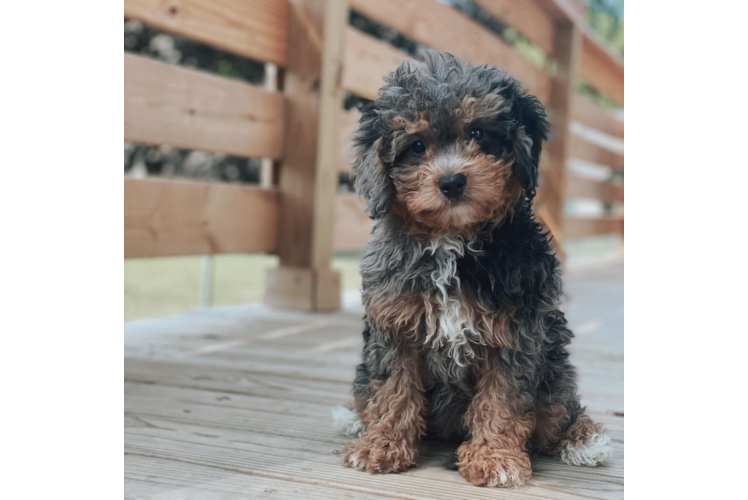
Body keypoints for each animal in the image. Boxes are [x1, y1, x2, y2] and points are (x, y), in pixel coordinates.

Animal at [334, 51, 612, 488]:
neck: (453, 241)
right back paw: (355, 420)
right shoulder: (395, 325)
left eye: (478, 133)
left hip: (553, 365)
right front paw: (380, 445)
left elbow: (503, 400)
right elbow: (392, 389)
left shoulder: (515, 333)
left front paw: (495, 457)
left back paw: (584, 440)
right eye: (416, 146)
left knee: (559, 411)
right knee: (367, 392)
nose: (451, 181)